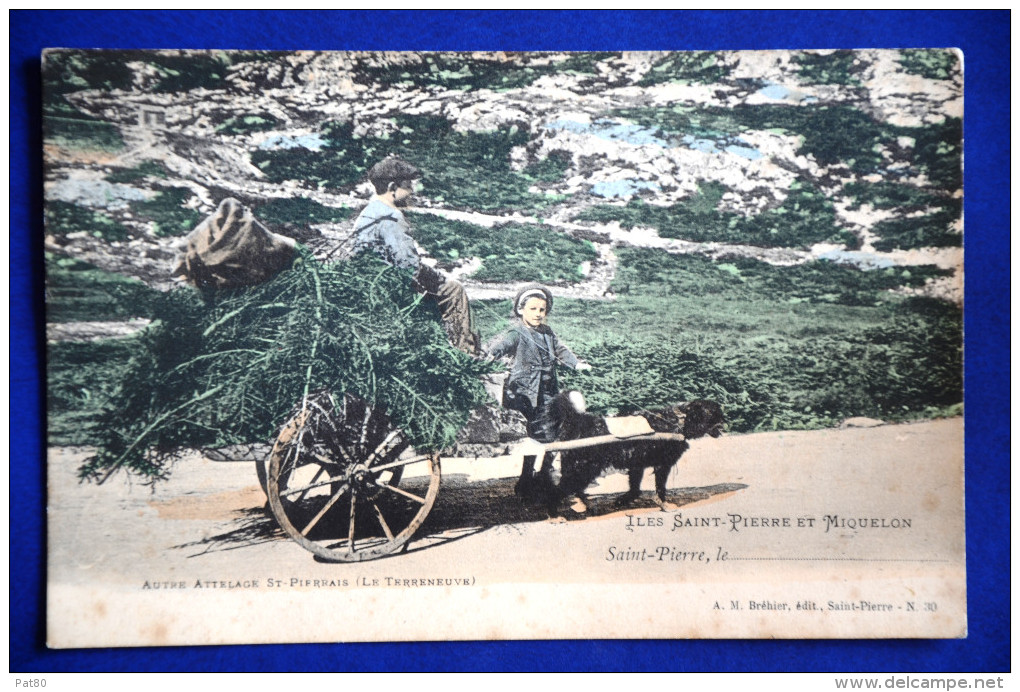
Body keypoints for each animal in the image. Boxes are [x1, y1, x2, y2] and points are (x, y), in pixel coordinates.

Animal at [526, 389, 726, 514]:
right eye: (715, 414)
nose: (725, 424)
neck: (678, 422)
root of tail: (579, 420)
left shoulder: (637, 464)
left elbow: (635, 488)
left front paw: (623, 500)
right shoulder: (662, 466)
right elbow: (660, 489)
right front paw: (664, 504)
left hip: (580, 468)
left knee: (573, 490)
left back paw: (585, 504)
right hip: (583, 469)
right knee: (558, 491)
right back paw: (556, 514)